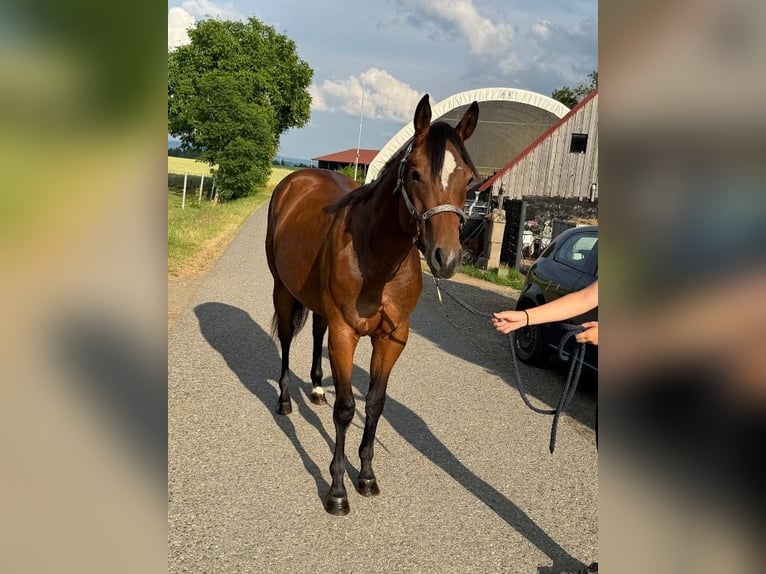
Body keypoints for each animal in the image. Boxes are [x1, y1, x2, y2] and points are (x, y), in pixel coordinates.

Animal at [265, 93, 479, 515]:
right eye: (414, 173)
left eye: (468, 178)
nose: (446, 258)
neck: (377, 259)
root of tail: (297, 180)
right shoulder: (346, 334)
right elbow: (347, 409)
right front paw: (337, 490)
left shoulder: (392, 338)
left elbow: (375, 405)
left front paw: (365, 476)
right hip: (283, 290)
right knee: (286, 338)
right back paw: (284, 400)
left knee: (315, 332)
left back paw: (317, 389)